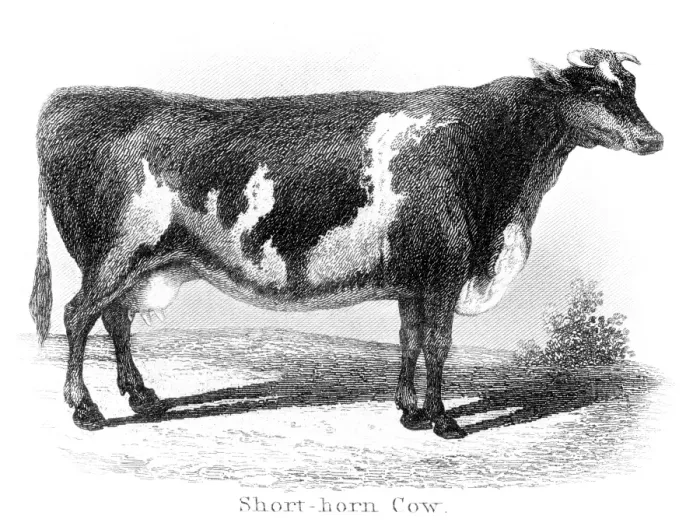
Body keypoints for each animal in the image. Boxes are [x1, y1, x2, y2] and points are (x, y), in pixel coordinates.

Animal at [30, 48, 662, 438]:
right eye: (596, 90)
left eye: (630, 87)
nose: (653, 138)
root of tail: (73, 98)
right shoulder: (445, 268)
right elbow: (439, 346)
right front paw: (444, 421)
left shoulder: (413, 277)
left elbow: (409, 341)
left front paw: (409, 411)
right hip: (116, 254)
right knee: (79, 314)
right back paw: (86, 409)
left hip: (130, 262)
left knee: (115, 319)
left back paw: (143, 397)